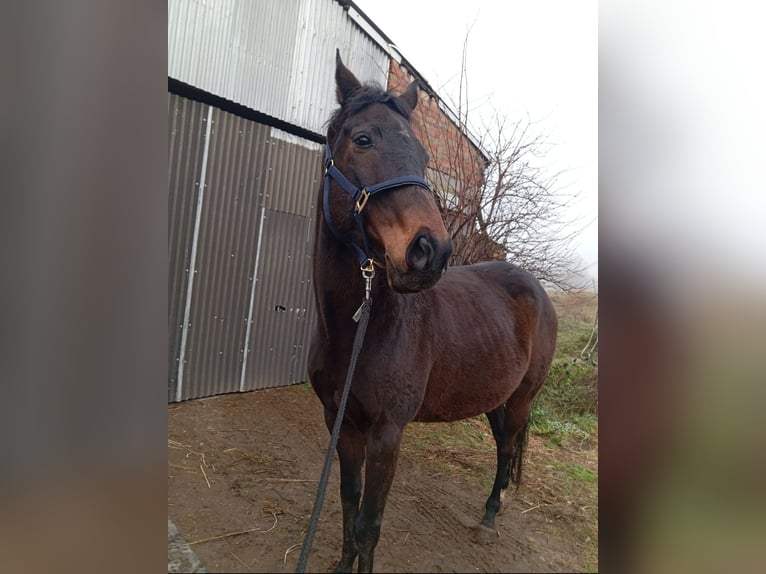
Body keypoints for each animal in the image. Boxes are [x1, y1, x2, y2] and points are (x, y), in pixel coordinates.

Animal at [308, 51, 558, 573]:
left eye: (425, 158)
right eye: (363, 139)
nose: (432, 251)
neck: (362, 331)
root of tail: (538, 292)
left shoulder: (387, 433)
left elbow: (369, 525)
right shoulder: (340, 422)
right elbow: (347, 503)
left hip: (522, 399)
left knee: (507, 450)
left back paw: (488, 520)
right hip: (495, 398)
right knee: (503, 443)